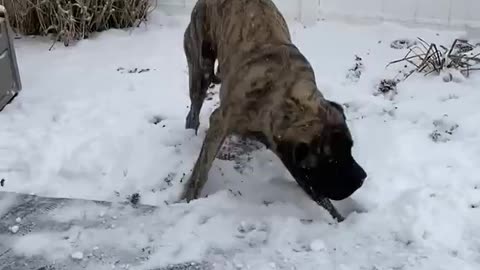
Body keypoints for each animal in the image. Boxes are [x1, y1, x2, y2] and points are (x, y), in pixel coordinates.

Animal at [182, 0, 366, 221]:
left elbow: (318, 195)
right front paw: (187, 199)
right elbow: (201, 171)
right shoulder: (221, 121)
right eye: (332, 161)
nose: (361, 179)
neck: (287, 95)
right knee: (194, 108)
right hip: (201, 68)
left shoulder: (291, 157)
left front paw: (338, 218)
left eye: (351, 147)